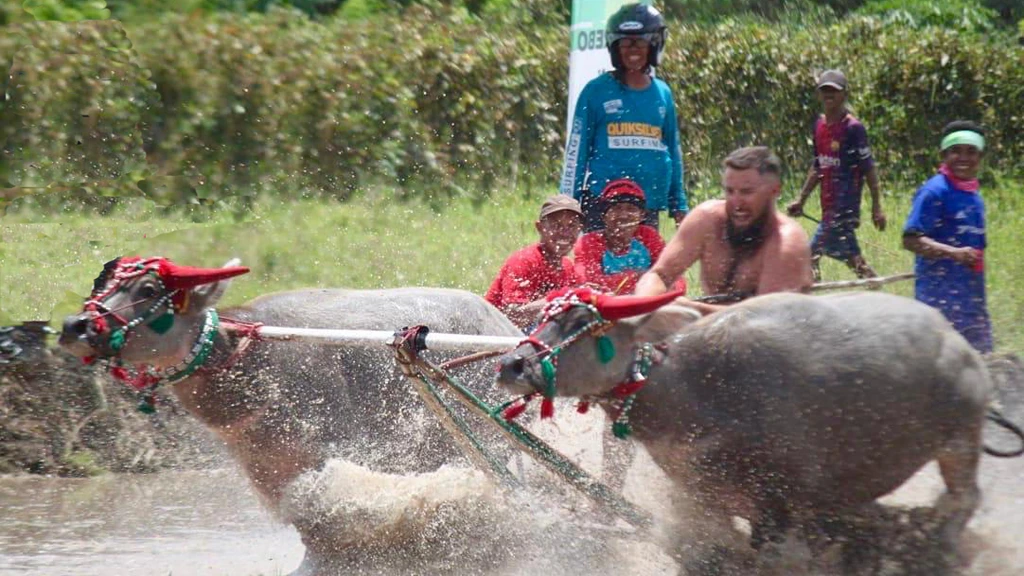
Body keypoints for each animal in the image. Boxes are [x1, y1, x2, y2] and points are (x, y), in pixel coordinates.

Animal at [58, 255, 520, 569]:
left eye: (149, 290)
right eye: (103, 282)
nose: (74, 326)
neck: (250, 363)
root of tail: (508, 332)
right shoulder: (275, 473)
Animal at [495, 286, 991, 569]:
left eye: (582, 322)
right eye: (547, 315)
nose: (512, 364)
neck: (696, 390)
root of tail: (957, 340)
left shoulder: (781, 508)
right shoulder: (704, 501)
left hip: (960, 441)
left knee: (964, 500)